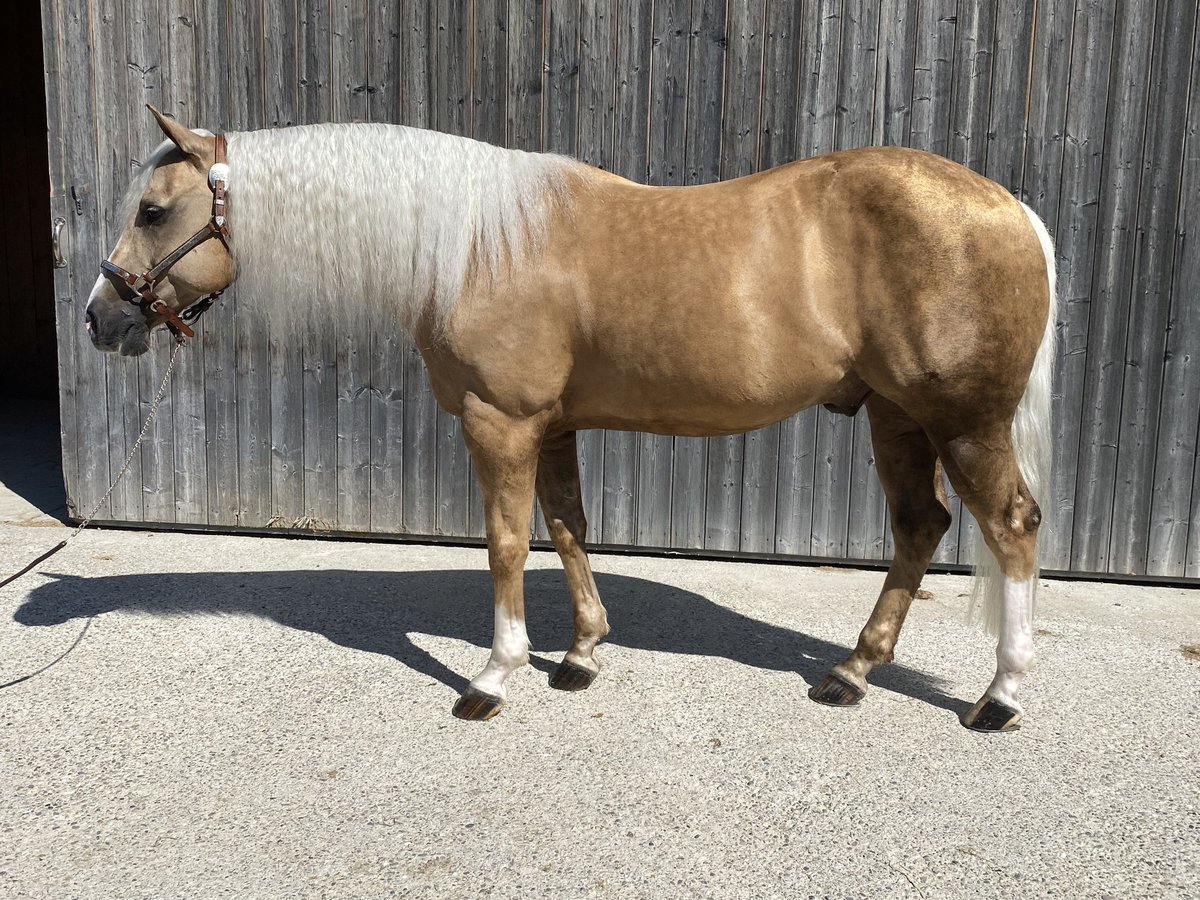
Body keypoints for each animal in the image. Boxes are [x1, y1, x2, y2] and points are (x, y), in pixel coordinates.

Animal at [88, 111, 1056, 734]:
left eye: (152, 210)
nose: (102, 319)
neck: (473, 243)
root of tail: (1011, 207)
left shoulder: (501, 423)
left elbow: (506, 546)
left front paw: (494, 676)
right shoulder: (551, 428)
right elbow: (566, 529)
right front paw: (581, 656)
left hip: (962, 421)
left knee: (1010, 527)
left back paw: (1002, 696)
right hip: (897, 417)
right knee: (920, 526)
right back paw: (851, 673)